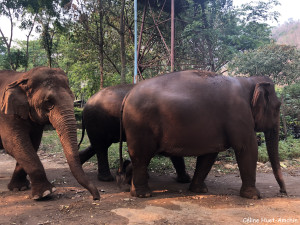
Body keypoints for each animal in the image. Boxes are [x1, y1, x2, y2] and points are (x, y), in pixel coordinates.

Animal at [0, 67, 99, 200]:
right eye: (48, 102)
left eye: (73, 98)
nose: (96, 197)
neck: (23, 77)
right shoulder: (5, 115)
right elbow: (13, 144)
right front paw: (45, 193)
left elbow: (32, 143)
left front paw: (20, 188)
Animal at [119, 70, 286, 199]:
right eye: (278, 106)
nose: (283, 192)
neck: (249, 81)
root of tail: (127, 95)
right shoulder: (239, 115)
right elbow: (247, 148)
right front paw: (254, 196)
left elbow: (209, 155)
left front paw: (199, 190)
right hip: (139, 125)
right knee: (142, 157)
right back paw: (143, 194)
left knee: (139, 158)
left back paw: (129, 185)